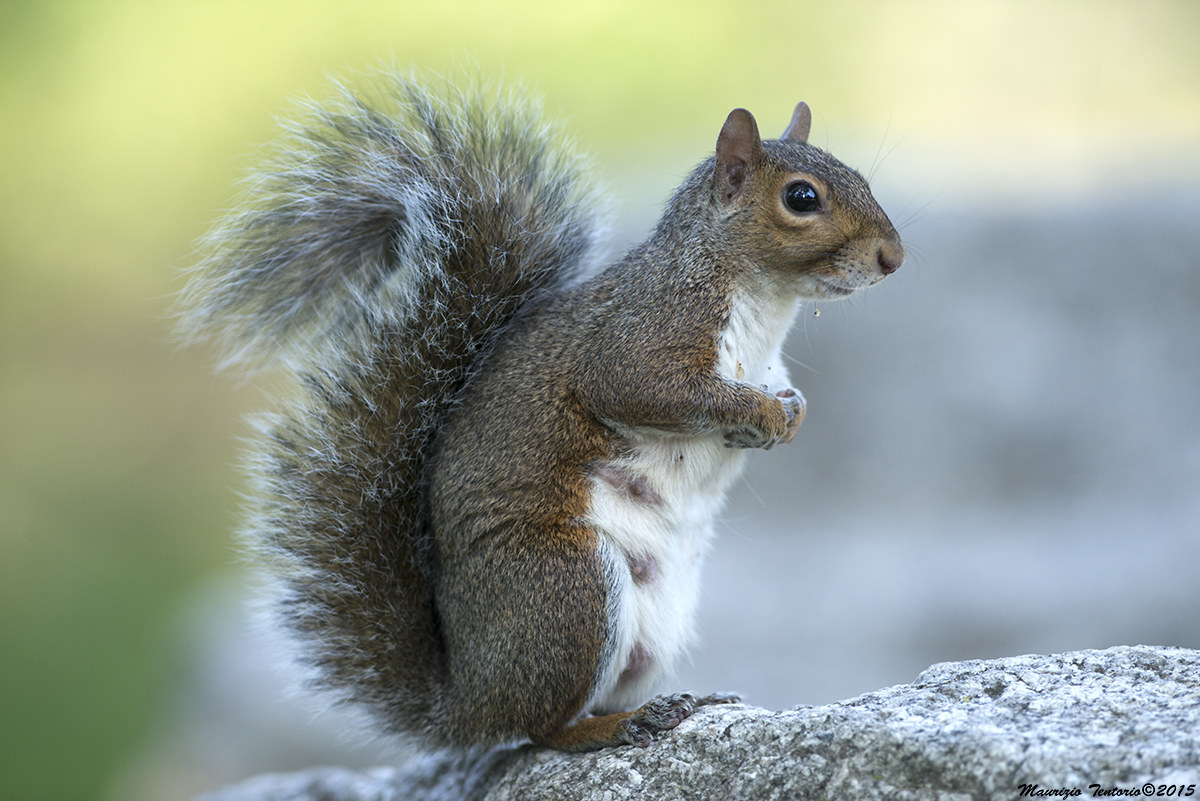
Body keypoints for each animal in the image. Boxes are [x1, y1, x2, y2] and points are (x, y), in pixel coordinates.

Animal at [178, 71, 903, 753]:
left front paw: (790, 415)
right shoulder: (646, 337)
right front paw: (761, 413)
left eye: (862, 178)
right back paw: (613, 727)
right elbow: (652, 391)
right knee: (539, 729)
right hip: (568, 589)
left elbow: (780, 392)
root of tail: (465, 703)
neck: (764, 304)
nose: (894, 258)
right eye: (802, 198)